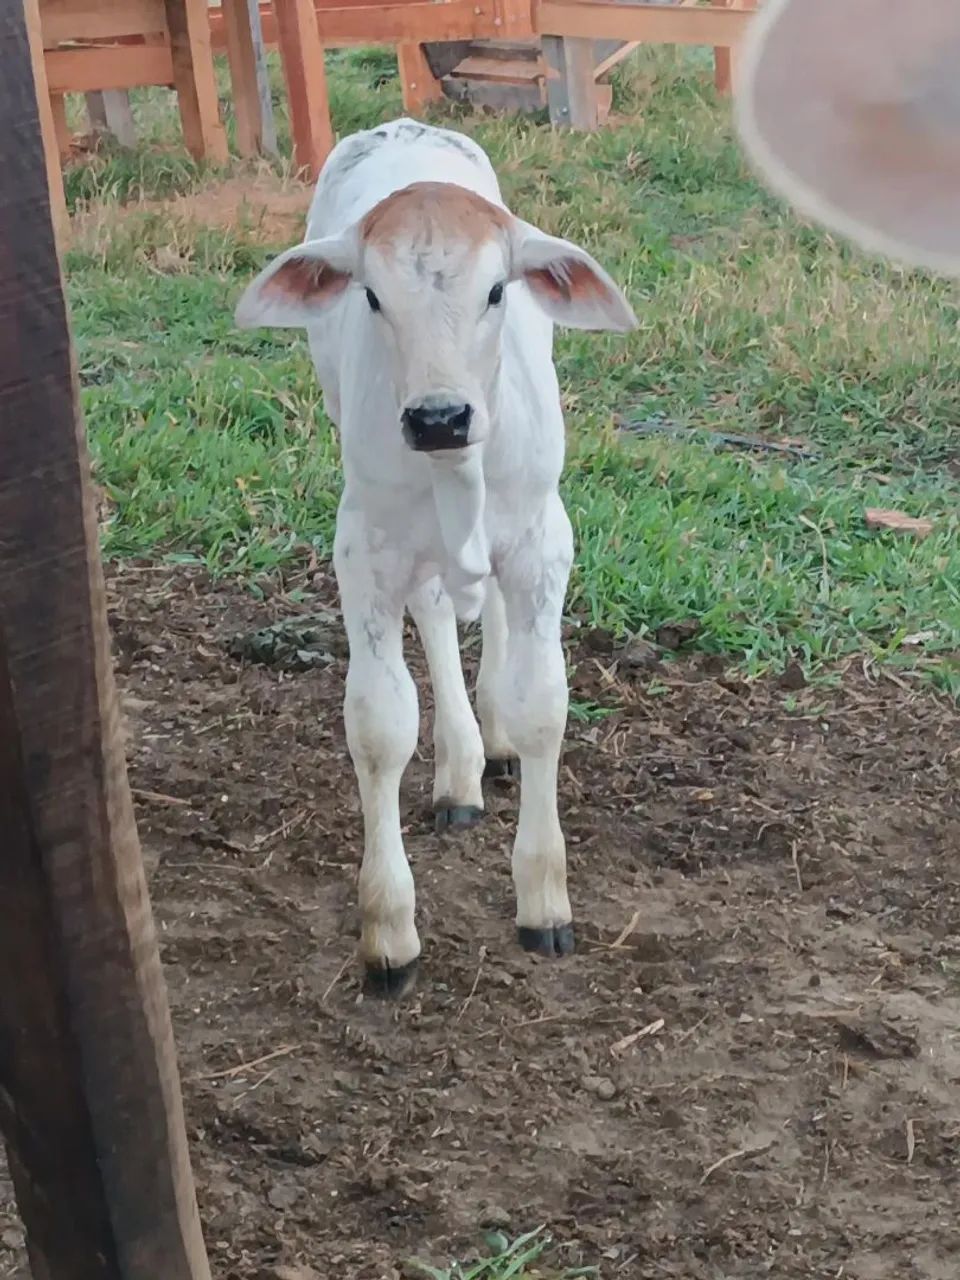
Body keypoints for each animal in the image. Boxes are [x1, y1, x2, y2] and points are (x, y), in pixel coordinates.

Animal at [235, 119, 636, 996]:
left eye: (496, 292)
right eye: (373, 296)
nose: (439, 417)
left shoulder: (544, 542)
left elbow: (543, 702)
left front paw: (544, 900)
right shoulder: (365, 549)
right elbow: (381, 723)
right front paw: (388, 930)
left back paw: (494, 742)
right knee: (440, 612)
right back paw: (461, 768)